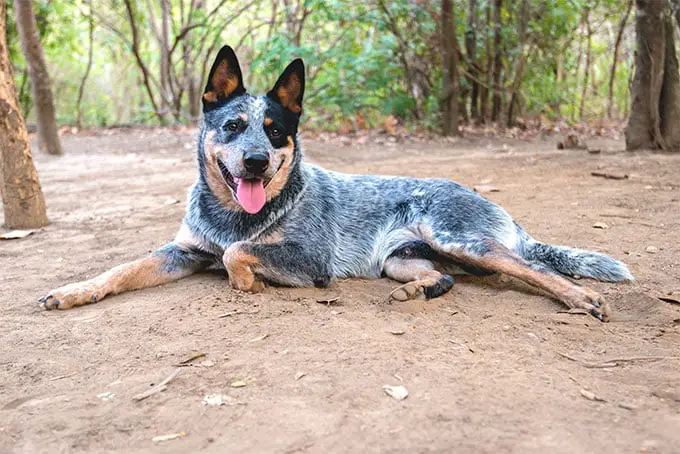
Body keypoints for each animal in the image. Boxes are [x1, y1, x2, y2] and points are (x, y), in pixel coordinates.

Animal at [38, 46, 632, 320]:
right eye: (232, 126)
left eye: (276, 131)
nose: (256, 162)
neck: (233, 216)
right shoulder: (182, 251)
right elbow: (122, 268)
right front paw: (74, 290)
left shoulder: (309, 260)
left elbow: (236, 256)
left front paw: (250, 283)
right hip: (402, 257)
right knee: (443, 277)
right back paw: (416, 290)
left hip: (462, 239)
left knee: (534, 268)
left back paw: (582, 298)